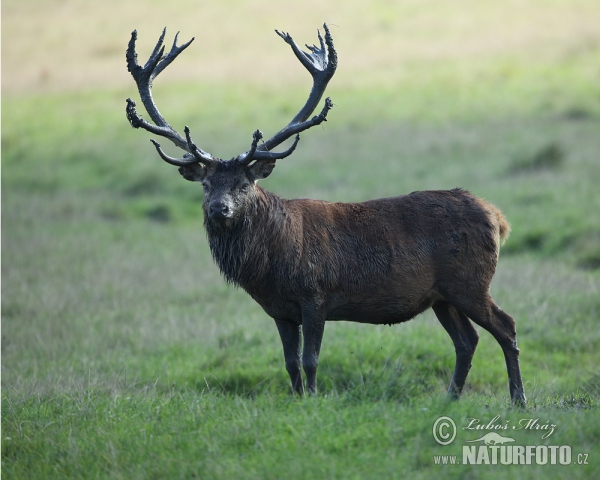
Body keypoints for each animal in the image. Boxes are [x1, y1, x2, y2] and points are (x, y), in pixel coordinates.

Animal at [125, 22, 524, 404]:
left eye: (244, 184)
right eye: (206, 184)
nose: (219, 209)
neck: (270, 267)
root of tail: (498, 218)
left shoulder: (316, 295)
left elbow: (310, 359)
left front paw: (314, 401)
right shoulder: (280, 310)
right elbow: (289, 362)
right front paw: (298, 400)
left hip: (470, 281)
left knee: (506, 326)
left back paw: (517, 400)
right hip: (442, 295)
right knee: (467, 340)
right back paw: (450, 399)